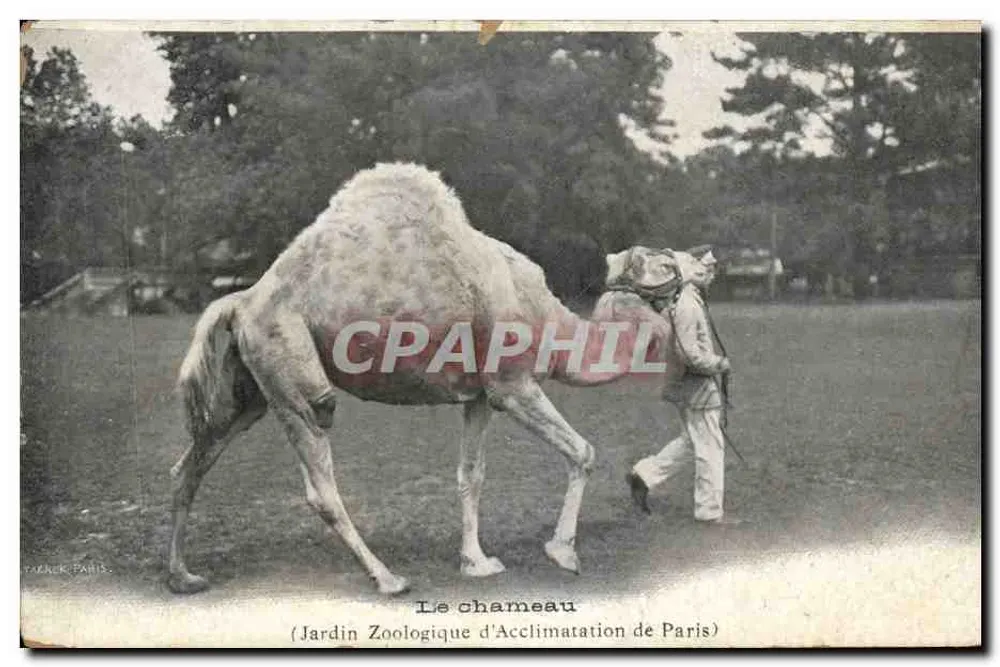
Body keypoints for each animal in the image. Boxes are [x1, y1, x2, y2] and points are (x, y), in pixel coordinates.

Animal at [168, 163, 687, 596]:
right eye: (664, 262)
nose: (702, 263)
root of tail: (241, 300)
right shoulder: (512, 385)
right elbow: (583, 452)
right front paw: (563, 554)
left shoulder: (479, 395)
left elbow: (471, 475)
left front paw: (477, 562)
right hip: (291, 368)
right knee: (319, 473)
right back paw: (388, 578)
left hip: (249, 388)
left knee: (191, 464)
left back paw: (183, 578)